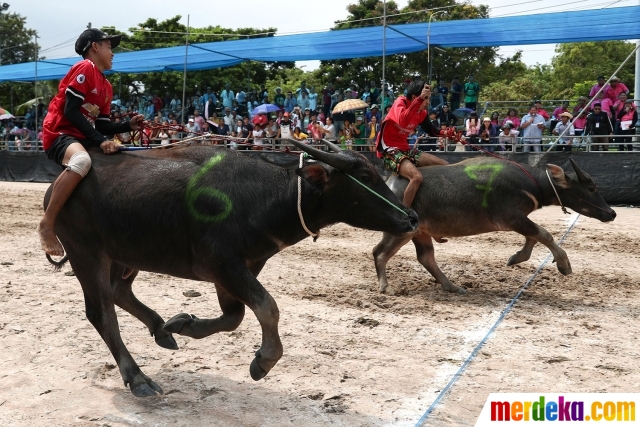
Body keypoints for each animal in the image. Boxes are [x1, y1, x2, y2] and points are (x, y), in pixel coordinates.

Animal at [42, 140, 418, 398]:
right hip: (87, 253)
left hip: (125, 254)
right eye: (366, 176)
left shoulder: (235, 270)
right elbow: (267, 307)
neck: (262, 198)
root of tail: (54, 191)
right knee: (102, 313)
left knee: (120, 292)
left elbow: (234, 316)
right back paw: (138, 378)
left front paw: (184, 325)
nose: (411, 217)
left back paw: (161, 329)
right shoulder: (223, 264)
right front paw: (263, 361)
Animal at [372, 157, 616, 294]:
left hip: (420, 233)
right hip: (400, 231)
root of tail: (390, 183)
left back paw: (452, 286)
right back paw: (385, 287)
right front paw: (564, 264)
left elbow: (533, 236)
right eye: (591, 188)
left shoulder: (518, 219)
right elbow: (544, 234)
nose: (611, 213)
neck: (533, 184)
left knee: (426, 258)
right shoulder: (511, 217)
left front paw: (517, 257)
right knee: (379, 252)